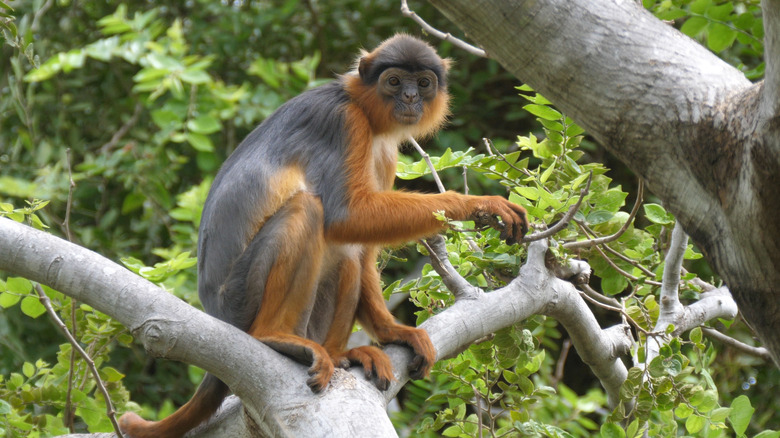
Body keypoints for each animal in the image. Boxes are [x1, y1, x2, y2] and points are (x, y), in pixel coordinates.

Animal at [119, 35, 528, 438]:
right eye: (395, 81)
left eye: (423, 83)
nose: (411, 97)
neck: (361, 107)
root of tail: (216, 313)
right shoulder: (343, 122)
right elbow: (346, 215)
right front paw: (476, 204)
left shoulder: (384, 151)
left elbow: (362, 241)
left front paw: (391, 331)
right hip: (239, 299)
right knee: (308, 210)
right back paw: (273, 336)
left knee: (346, 253)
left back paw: (339, 355)